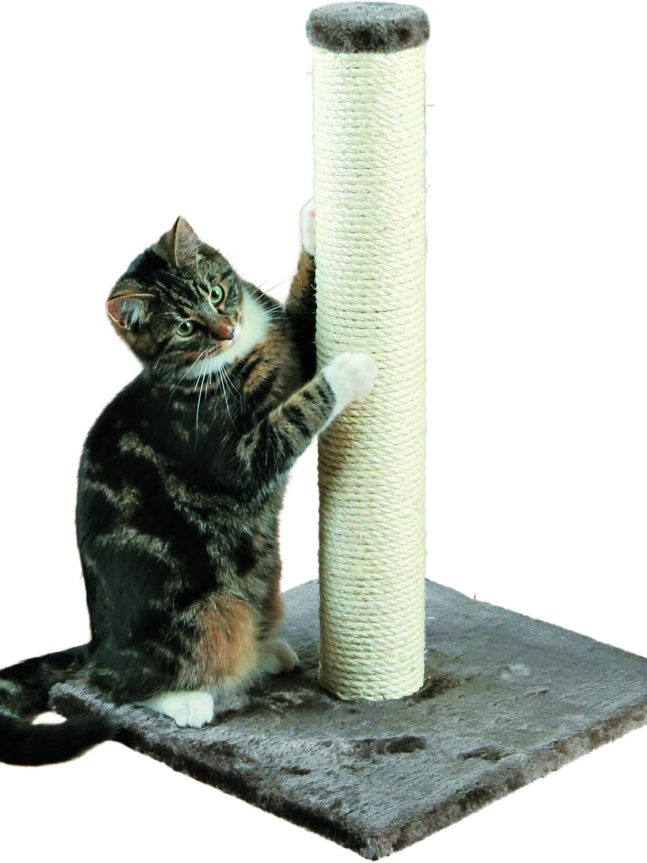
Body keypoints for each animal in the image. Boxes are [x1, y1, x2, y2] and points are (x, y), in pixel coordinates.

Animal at [0, 204, 377, 765]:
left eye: (216, 293)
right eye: (184, 327)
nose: (226, 329)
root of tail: (96, 644)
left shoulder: (291, 340)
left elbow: (306, 310)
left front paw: (313, 223)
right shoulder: (233, 452)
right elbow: (294, 415)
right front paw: (349, 370)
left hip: (264, 583)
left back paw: (267, 653)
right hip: (207, 612)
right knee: (112, 688)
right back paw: (186, 702)